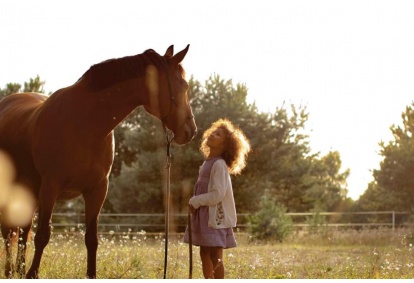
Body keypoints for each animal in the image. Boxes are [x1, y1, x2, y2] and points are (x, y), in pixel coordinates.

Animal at [0, 45, 197, 278]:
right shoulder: (50, 187)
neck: (85, 123)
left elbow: (91, 239)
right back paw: (11, 271)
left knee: (22, 232)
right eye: (184, 86)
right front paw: (32, 274)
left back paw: (17, 270)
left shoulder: (97, 190)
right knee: (9, 233)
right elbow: (42, 236)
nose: (191, 130)